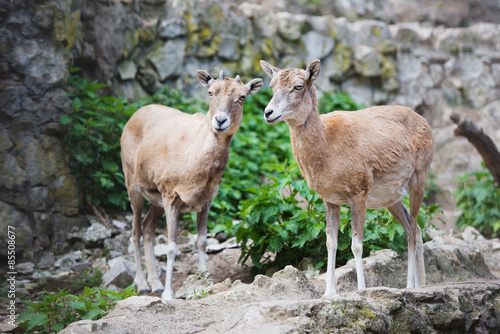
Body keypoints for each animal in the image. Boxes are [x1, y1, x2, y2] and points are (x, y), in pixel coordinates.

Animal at [120, 70, 264, 300]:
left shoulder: (206, 200)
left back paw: (155, 283)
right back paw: (143, 285)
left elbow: (202, 240)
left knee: (148, 228)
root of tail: (134, 116)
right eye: (210, 92)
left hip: (156, 201)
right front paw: (168, 294)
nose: (220, 121)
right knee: (135, 232)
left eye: (242, 97)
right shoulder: (171, 196)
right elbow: (171, 247)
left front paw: (204, 281)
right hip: (132, 185)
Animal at [260, 59, 436, 298]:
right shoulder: (330, 200)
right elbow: (331, 242)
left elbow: (356, 244)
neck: (327, 146)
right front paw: (329, 293)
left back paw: (409, 285)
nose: (268, 113)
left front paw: (361, 290)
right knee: (414, 228)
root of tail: (425, 123)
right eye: (271, 85)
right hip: (391, 199)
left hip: (419, 179)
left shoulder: (358, 192)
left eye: (298, 86)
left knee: (412, 232)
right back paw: (420, 284)